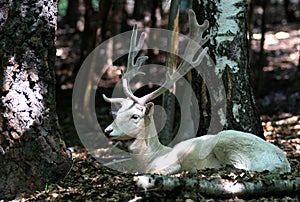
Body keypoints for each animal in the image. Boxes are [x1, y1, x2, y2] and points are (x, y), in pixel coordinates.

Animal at [103, 9, 290, 174]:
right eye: (117, 113)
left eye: (135, 116)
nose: (108, 130)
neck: (151, 158)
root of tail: (283, 162)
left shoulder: (170, 163)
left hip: (228, 144)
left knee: (239, 167)